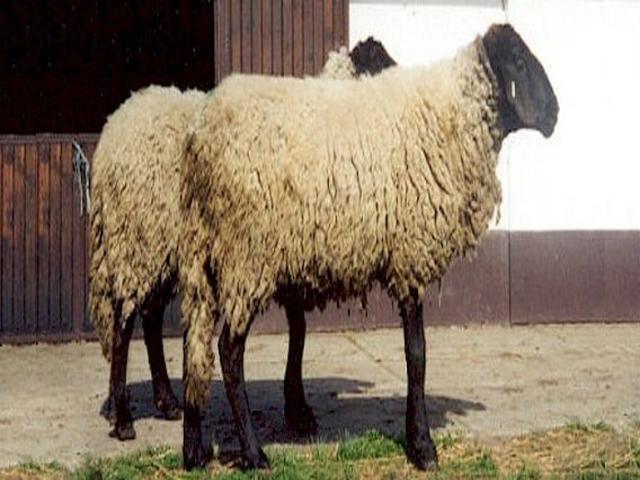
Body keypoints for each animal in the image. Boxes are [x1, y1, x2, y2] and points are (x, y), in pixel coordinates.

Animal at [89, 40, 397, 441]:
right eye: (381, 63)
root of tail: (114, 130)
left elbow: (298, 330)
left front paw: (297, 409)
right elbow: (299, 331)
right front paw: (298, 412)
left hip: (158, 248)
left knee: (150, 318)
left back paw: (162, 402)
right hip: (139, 237)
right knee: (124, 323)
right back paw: (124, 419)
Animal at [178, 23, 558, 471]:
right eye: (517, 60)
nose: (554, 114)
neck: (451, 117)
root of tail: (199, 136)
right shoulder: (411, 253)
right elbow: (417, 354)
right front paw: (422, 445)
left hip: (204, 253)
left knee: (194, 346)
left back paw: (193, 450)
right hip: (248, 255)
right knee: (228, 351)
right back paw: (254, 454)